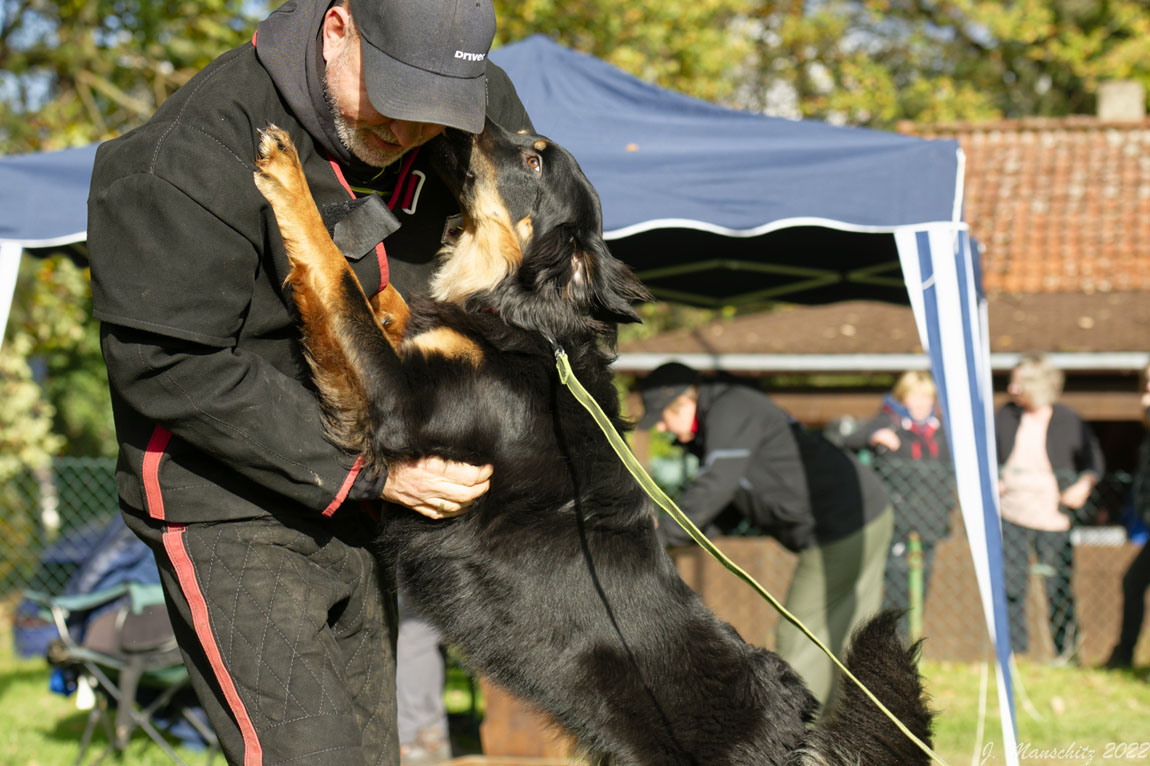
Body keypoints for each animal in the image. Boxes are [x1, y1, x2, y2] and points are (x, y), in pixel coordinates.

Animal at [254, 122, 933, 759]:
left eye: (533, 160)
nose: (460, 121)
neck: (533, 324)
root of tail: (799, 730)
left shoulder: (400, 401)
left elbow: (338, 281)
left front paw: (287, 178)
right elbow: (382, 302)